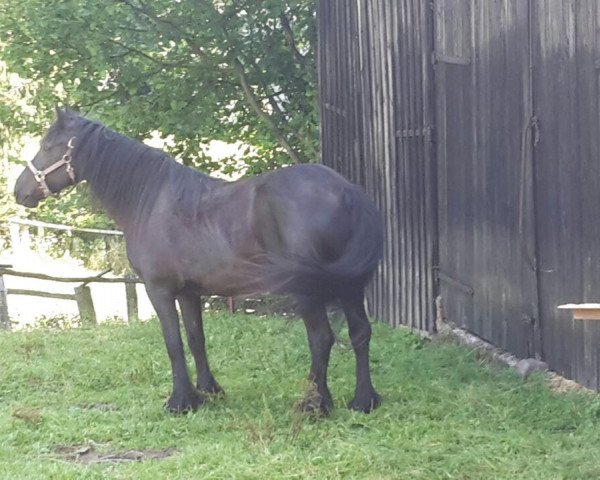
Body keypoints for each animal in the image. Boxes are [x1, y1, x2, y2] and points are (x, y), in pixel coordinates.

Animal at [15, 108, 384, 412]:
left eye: (48, 145)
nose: (20, 191)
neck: (151, 201)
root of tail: (347, 191)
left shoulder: (159, 291)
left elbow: (173, 343)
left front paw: (180, 401)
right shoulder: (190, 293)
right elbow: (196, 339)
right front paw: (209, 391)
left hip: (308, 291)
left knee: (321, 338)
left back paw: (314, 404)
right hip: (351, 286)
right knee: (360, 333)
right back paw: (363, 401)